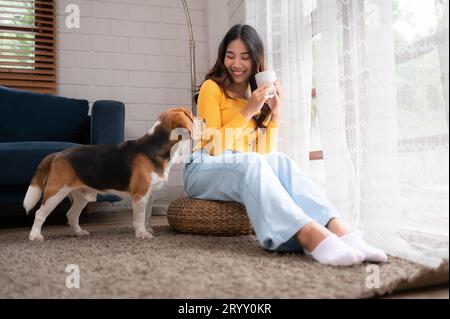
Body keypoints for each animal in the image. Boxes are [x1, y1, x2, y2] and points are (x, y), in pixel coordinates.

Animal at [22, 106, 202, 241]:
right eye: (191, 115)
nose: (205, 120)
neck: (156, 146)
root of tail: (58, 154)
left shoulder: (150, 196)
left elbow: (147, 215)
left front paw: (147, 229)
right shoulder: (140, 196)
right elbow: (139, 217)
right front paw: (142, 234)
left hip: (82, 196)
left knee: (71, 214)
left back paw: (79, 232)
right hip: (55, 193)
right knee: (39, 214)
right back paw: (35, 236)